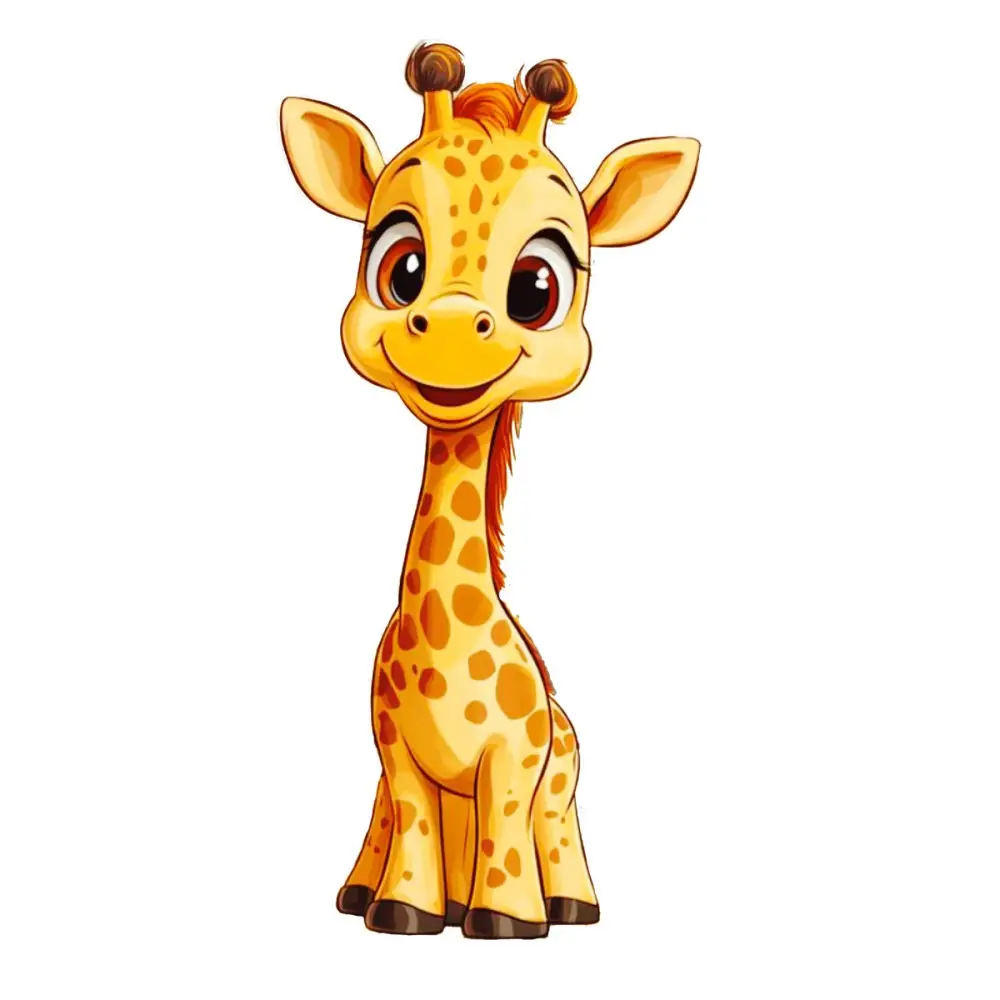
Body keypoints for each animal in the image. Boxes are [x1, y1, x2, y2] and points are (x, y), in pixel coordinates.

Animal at [280, 43, 699, 939]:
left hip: (563, 773)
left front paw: (507, 919)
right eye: (399, 267)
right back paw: (364, 893)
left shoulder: (514, 760)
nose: (443, 327)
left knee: (552, 828)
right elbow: (409, 824)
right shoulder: (394, 753)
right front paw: (401, 910)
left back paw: (570, 904)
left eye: (537, 287)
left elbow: (507, 837)